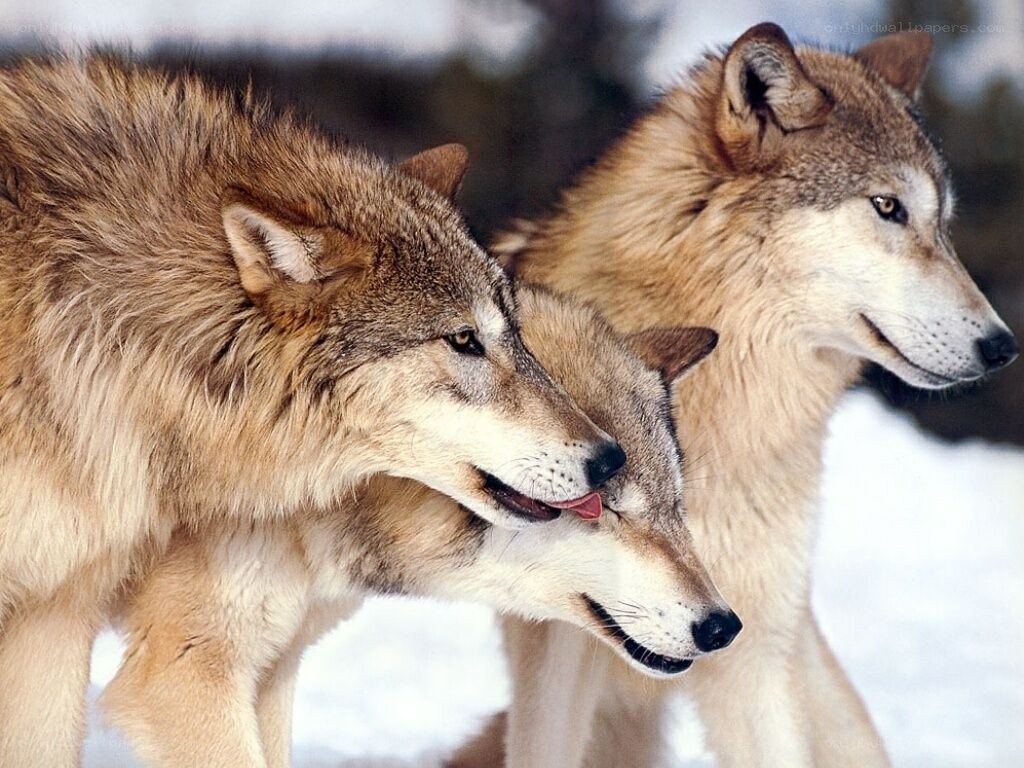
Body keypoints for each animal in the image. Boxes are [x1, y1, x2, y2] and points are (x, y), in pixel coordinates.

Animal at [451, 24, 1018, 768]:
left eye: (943, 222)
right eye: (888, 207)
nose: (1003, 345)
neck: (729, 418)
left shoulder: (755, 635)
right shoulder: (562, 642)